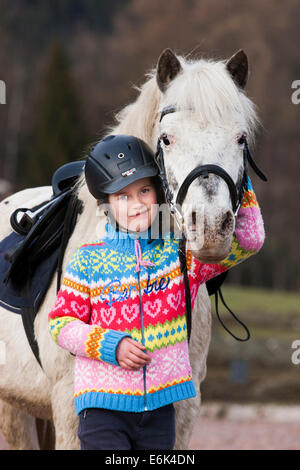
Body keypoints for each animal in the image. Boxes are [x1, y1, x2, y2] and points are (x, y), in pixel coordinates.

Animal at [0, 49, 260, 450]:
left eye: (240, 138)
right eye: (166, 139)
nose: (211, 227)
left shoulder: (184, 409)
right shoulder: (69, 410)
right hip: (13, 410)